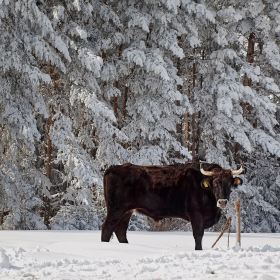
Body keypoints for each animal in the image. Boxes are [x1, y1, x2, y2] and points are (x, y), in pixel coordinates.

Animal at [101, 162, 243, 249]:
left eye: (229, 183)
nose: (222, 202)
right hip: (116, 209)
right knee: (107, 228)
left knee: (121, 230)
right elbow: (198, 235)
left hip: (127, 211)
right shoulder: (196, 214)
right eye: (215, 183)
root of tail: (114, 167)